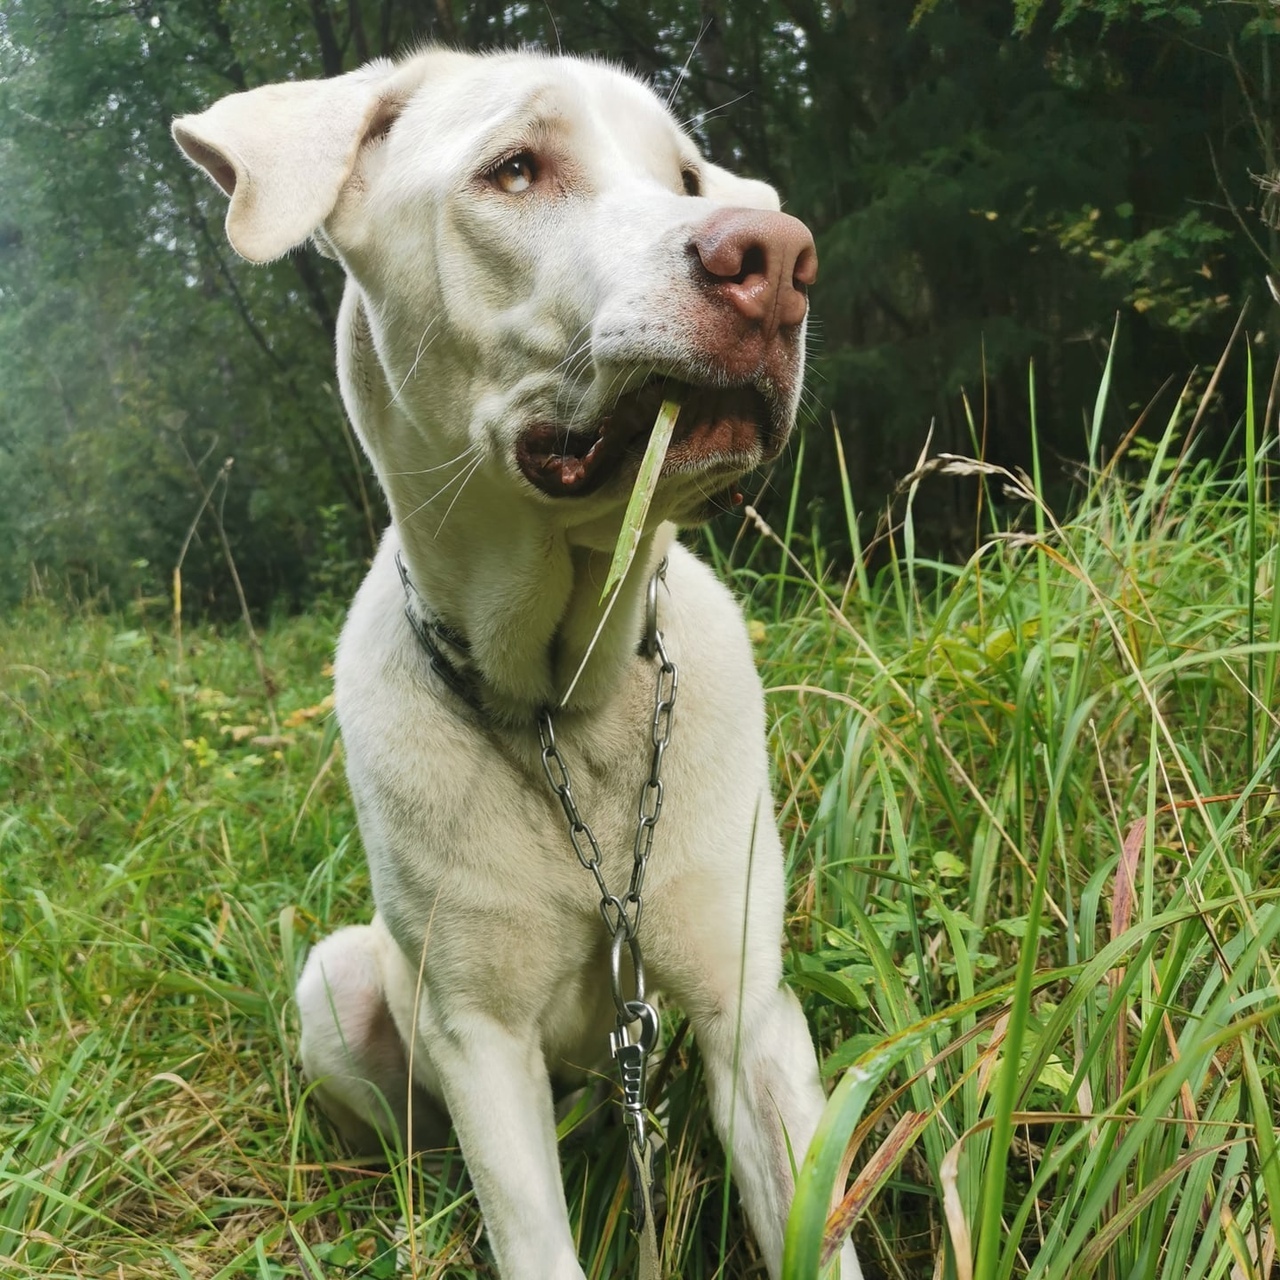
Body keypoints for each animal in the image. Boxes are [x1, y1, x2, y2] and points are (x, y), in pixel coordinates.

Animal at [175, 45, 860, 1274]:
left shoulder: (749, 1010)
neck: (569, 696)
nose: (778, 261)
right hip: (339, 983)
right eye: (514, 169)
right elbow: (530, 1230)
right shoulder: (480, 1042)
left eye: (686, 176)